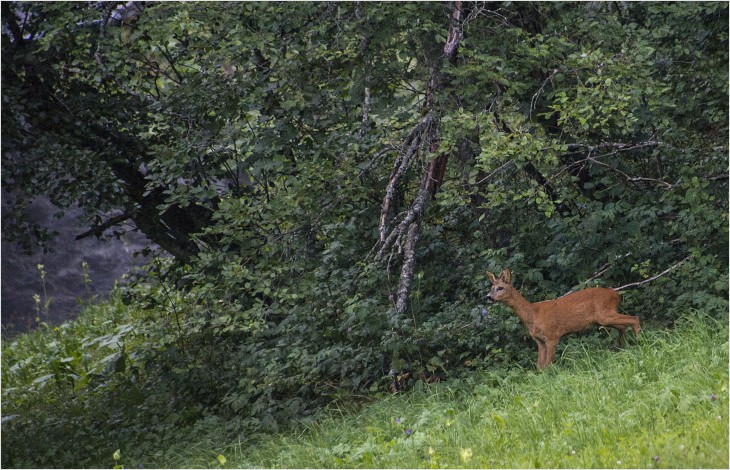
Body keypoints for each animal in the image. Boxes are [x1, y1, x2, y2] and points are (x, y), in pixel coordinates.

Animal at [490, 268, 636, 370]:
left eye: (500, 288)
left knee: (634, 318)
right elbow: (539, 366)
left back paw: (638, 341)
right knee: (623, 325)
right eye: (491, 288)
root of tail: (616, 294)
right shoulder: (539, 341)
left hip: (604, 314)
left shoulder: (552, 336)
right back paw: (623, 348)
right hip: (604, 318)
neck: (534, 314)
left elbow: (547, 365)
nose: (488, 297)